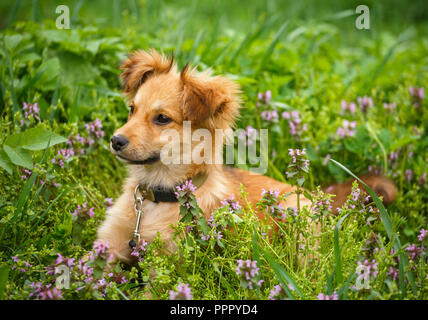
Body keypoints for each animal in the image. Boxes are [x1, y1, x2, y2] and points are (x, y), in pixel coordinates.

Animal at [96, 48, 394, 262]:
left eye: (161, 118)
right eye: (132, 110)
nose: (115, 140)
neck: (154, 200)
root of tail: (312, 195)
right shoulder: (107, 247)